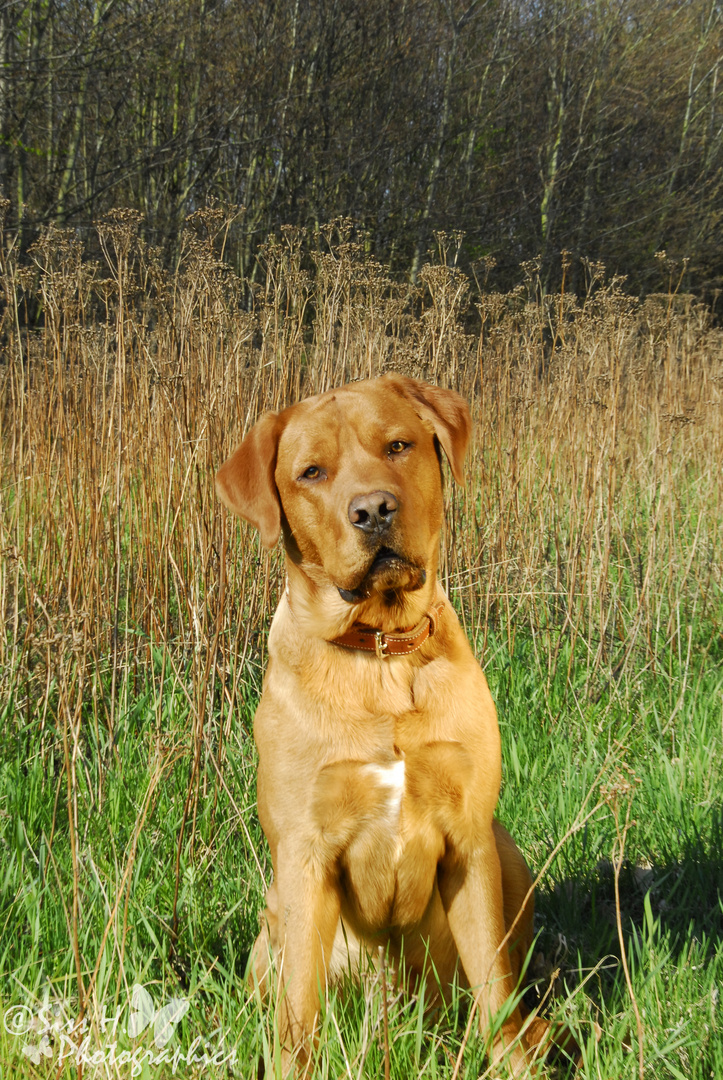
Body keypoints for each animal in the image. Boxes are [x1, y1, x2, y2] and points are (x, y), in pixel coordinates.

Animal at [217, 375, 549, 1075]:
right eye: (311, 472)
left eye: (398, 446)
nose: (372, 510)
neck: (381, 653)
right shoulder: (306, 850)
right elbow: (299, 1012)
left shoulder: (468, 836)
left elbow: (496, 992)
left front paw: (511, 1062)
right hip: (271, 922)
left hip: (507, 853)